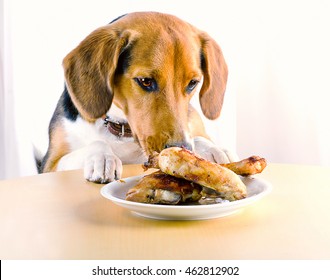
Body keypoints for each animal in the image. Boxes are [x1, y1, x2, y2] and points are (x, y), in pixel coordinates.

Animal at [39, 11, 237, 184]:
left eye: (192, 83)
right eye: (145, 81)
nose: (181, 147)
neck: (121, 129)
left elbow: (198, 139)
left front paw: (212, 149)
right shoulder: (50, 165)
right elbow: (96, 143)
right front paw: (102, 156)